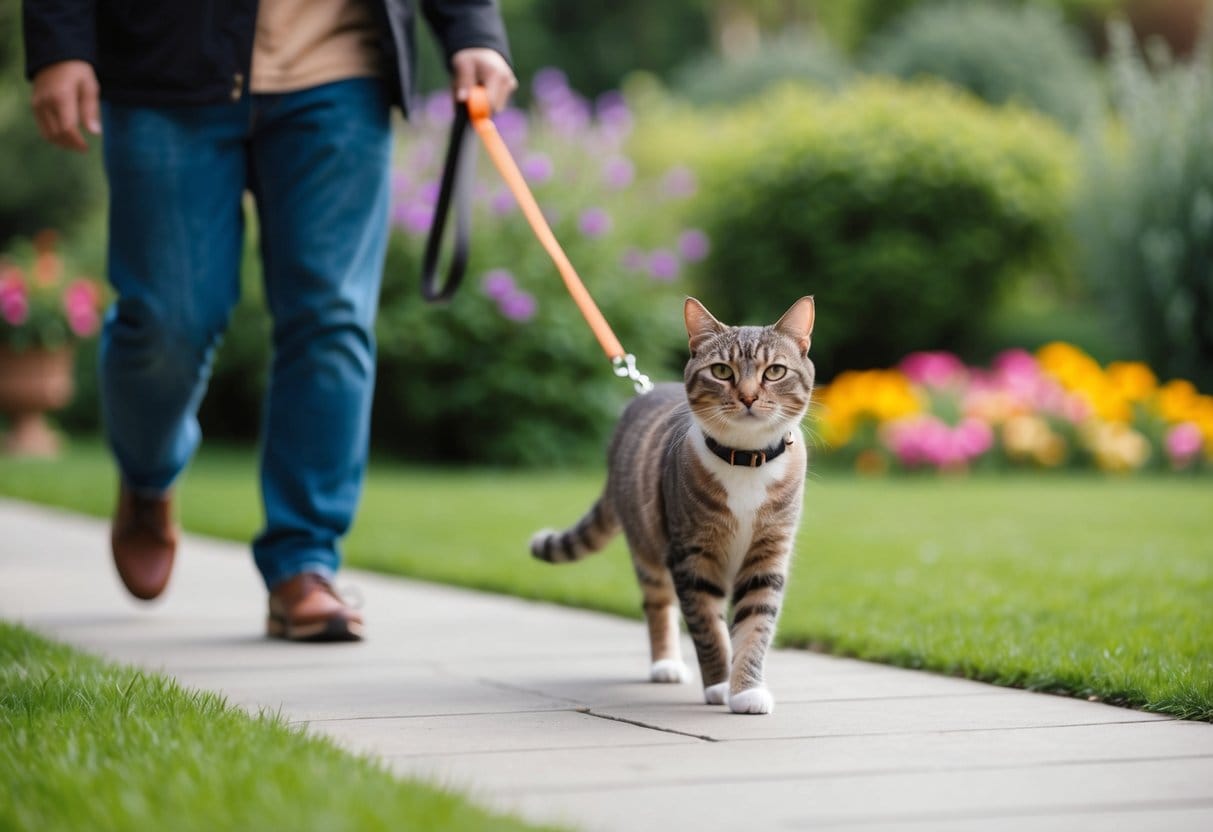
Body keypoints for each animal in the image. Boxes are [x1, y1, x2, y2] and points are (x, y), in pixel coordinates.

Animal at [533, 297, 810, 713]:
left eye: (775, 371)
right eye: (721, 370)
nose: (747, 397)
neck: (745, 460)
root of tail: (644, 393)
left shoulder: (768, 554)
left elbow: (755, 623)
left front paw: (746, 690)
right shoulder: (691, 555)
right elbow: (708, 627)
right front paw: (719, 685)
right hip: (647, 545)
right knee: (657, 603)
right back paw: (666, 664)